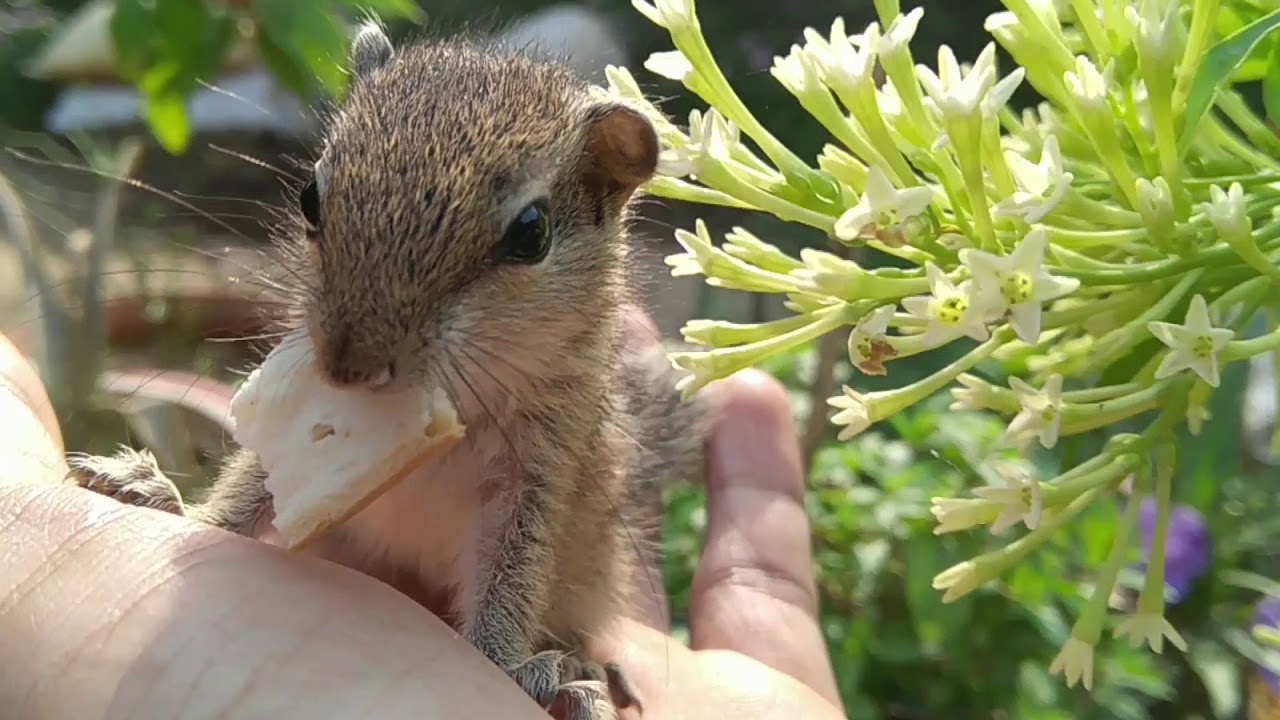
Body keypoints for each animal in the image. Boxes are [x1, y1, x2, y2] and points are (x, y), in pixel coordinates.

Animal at [65, 21, 713, 720]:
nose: (347, 366)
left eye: (531, 232)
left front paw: (517, 673)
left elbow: (513, 573)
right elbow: (248, 491)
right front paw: (173, 504)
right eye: (310, 196)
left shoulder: (542, 463)